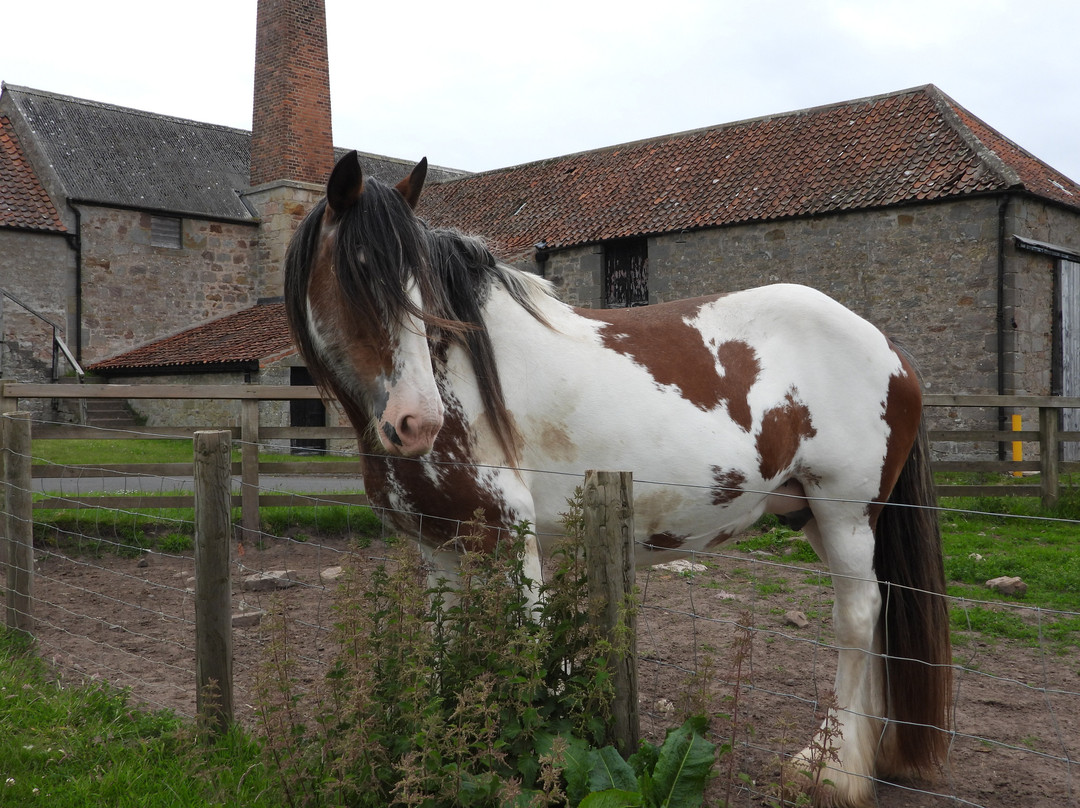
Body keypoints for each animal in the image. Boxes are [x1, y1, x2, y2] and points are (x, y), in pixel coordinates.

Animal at [283, 151, 953, 807]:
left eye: (421, 291)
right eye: (356, 274)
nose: (417, 419)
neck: (463, 377)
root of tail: (888, 345)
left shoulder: (515, 538)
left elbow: (534, 650)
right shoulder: (441, 547)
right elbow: (445, 655)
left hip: (846, 513)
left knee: (858, 616)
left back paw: (831, 770)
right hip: (811, 512)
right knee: (879, 613)